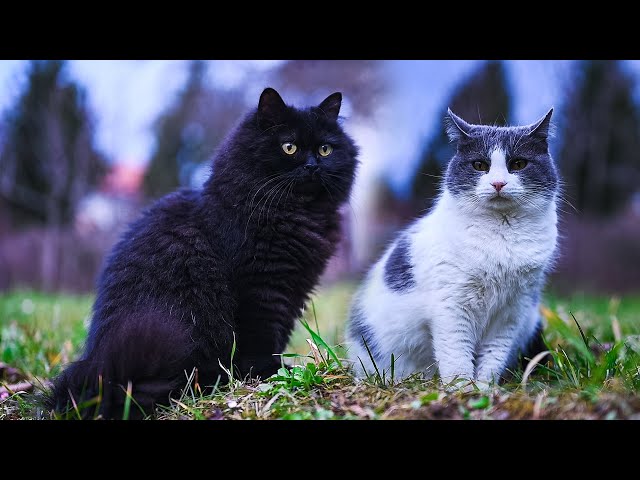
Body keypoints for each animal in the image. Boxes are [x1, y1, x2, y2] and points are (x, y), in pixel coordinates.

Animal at [48, 88, 360, 418]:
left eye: (325, 149)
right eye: (289, 147)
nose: (313, 166)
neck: (296, 214)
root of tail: (105, 383)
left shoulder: (291, 292)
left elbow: (279, 334)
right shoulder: (261, 290)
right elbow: (263, 340)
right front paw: (272, 373)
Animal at [348, 108, 556, 386]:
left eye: (518, 164)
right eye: (480, 165)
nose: (498, 183)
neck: (501, 236)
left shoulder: (512, 311)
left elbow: (494, 355)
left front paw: (485, 388)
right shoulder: (452, 306)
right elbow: (456, 352)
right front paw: (462, 388)